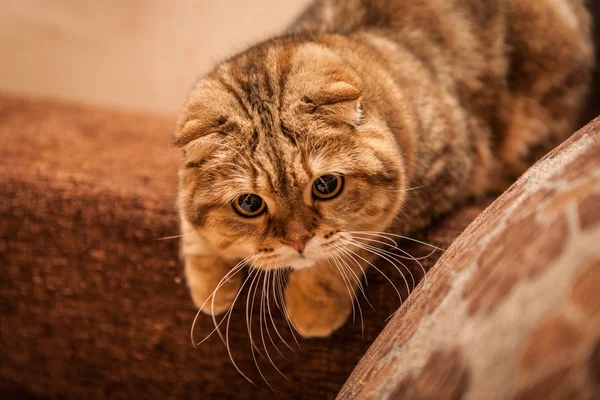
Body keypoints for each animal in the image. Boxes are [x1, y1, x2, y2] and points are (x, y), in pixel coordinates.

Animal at [175, 0, 596, 338]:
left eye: (326, 185)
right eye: (249, 204)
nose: (298, 242)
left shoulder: (440, 175)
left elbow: (352, 245)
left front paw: (313, 302)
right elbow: (188, 219)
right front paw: (208, 282)